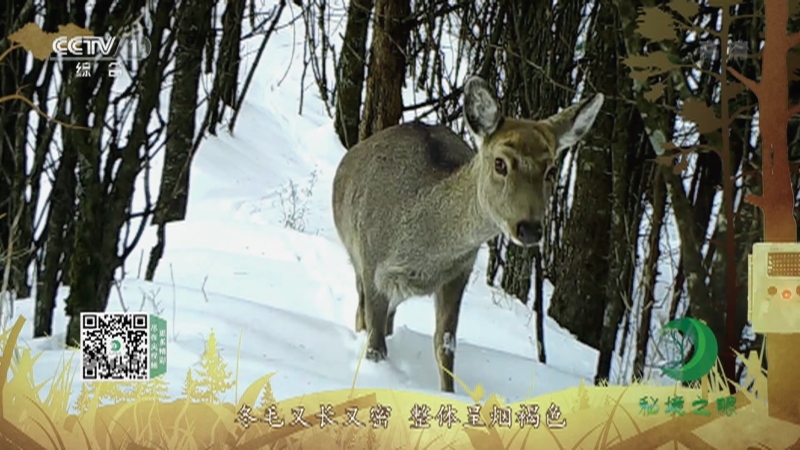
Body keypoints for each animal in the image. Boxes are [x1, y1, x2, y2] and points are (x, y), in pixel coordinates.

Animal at [331, 76, 604, 393]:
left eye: (550, 171)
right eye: (500, 163)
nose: (529, 228)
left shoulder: (458, 272)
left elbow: (445, 345)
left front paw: (450, 394)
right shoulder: (372, 263)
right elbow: (375, 345)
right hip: (355, 258)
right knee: (362, 316)